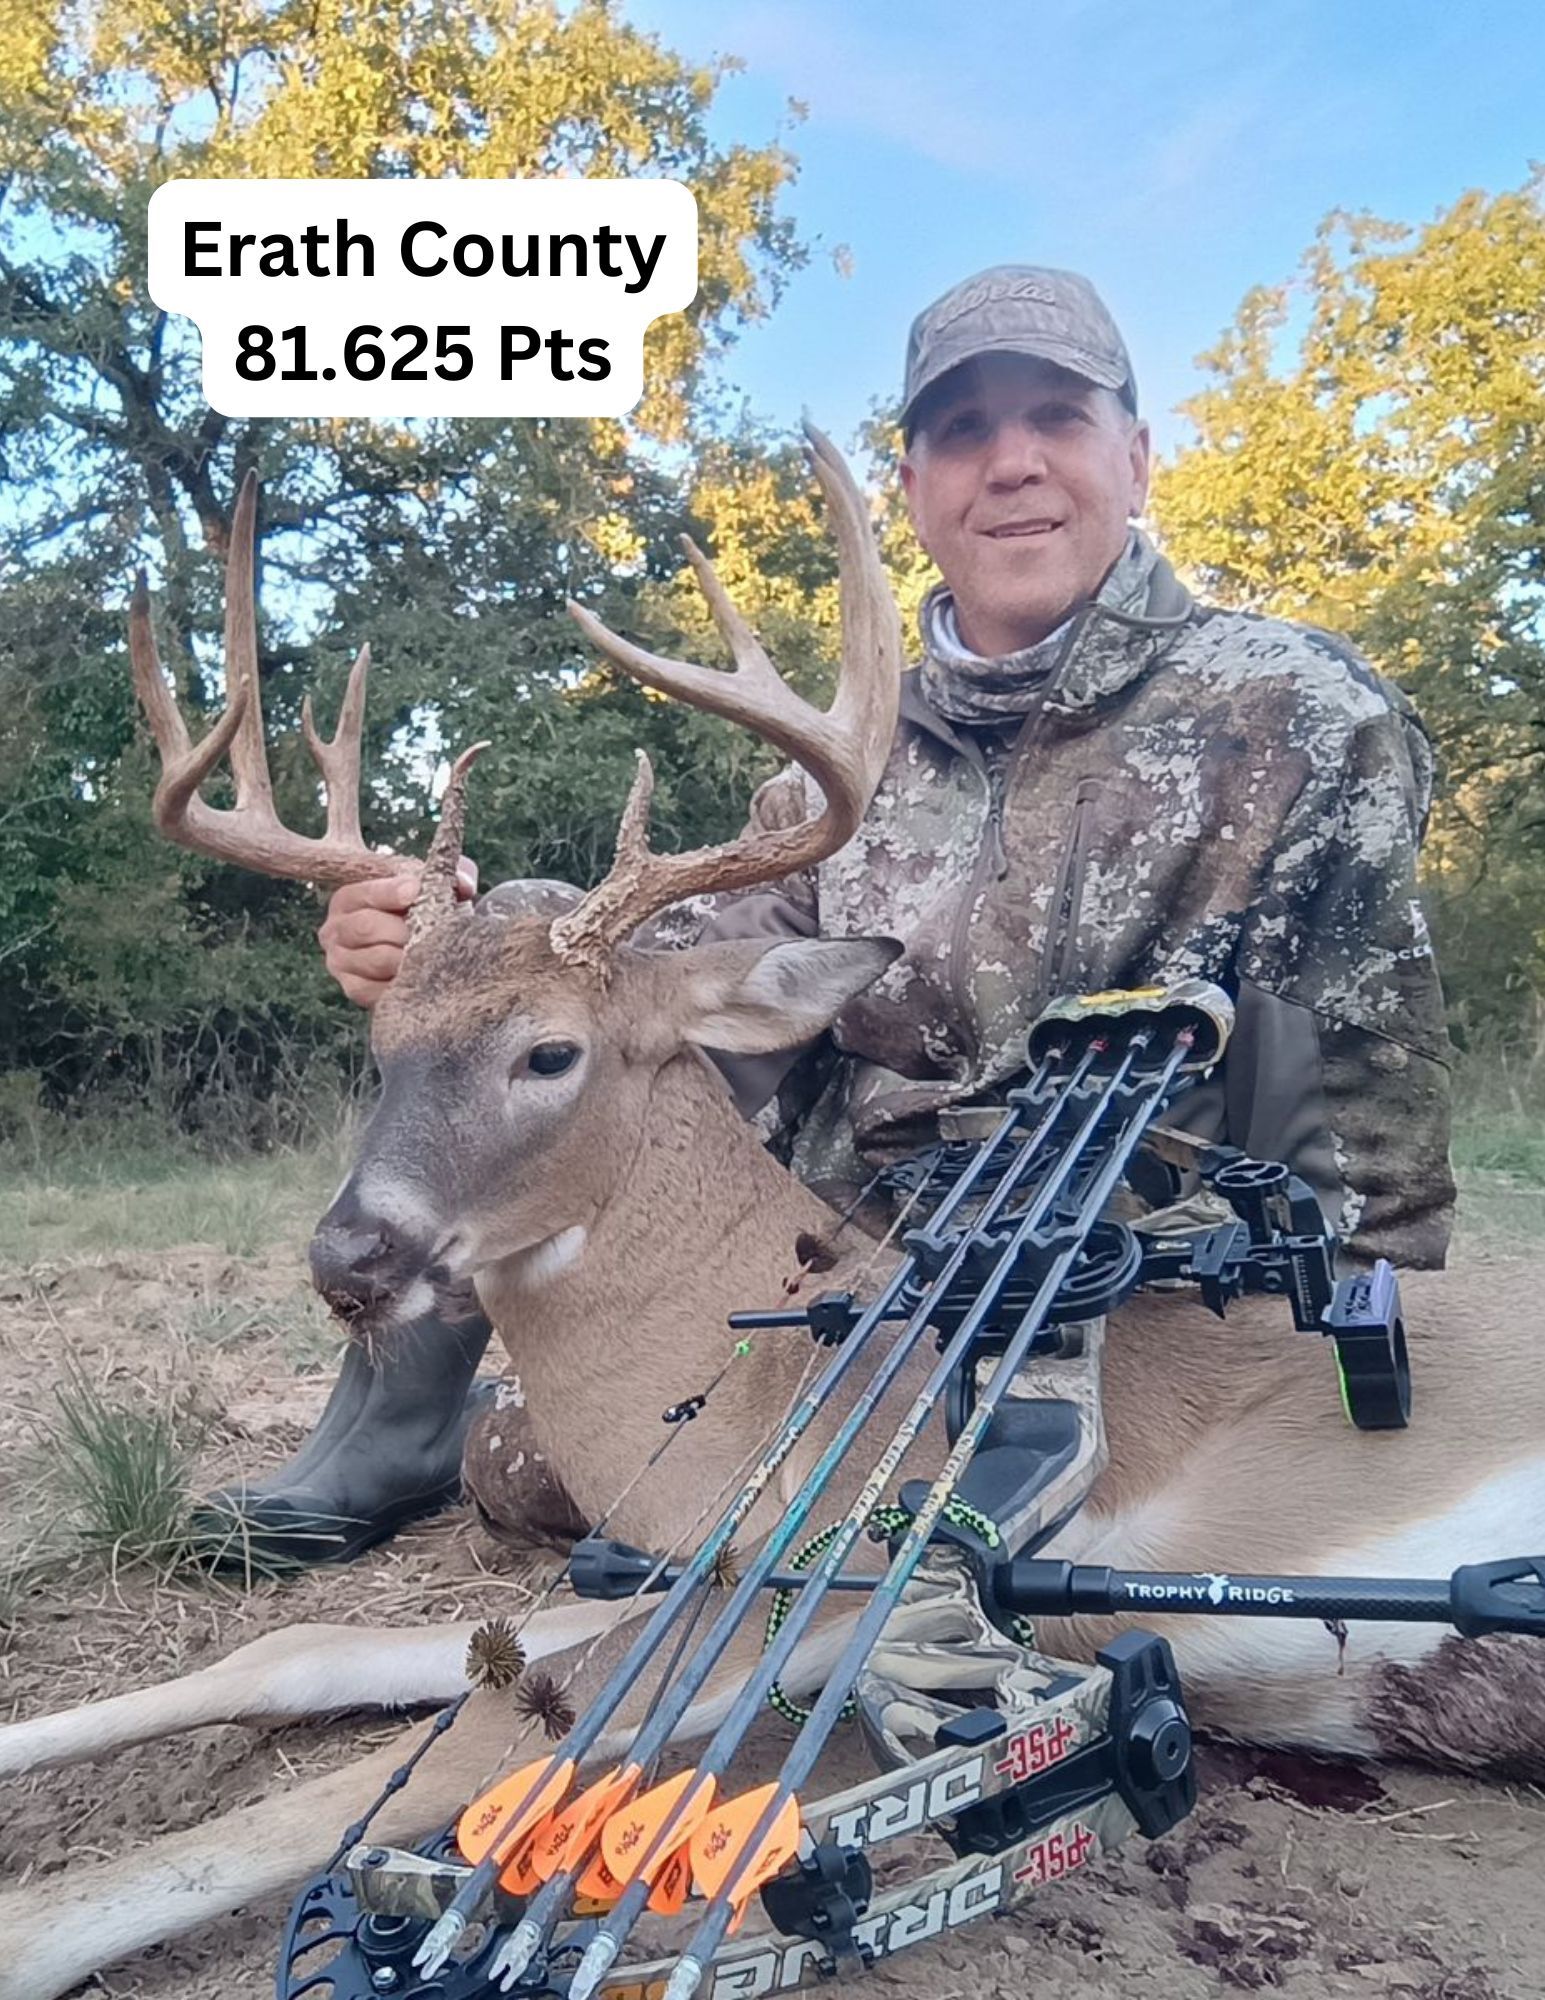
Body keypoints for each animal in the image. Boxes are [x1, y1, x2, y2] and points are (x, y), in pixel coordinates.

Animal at [0, 431, 1541, 2000]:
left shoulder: (824, 1583)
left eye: (549, 1051)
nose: (350, 1255)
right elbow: (302, 1648)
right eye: (382, 1046)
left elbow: (351, 1789)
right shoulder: (693, 1559)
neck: (747, 1372)